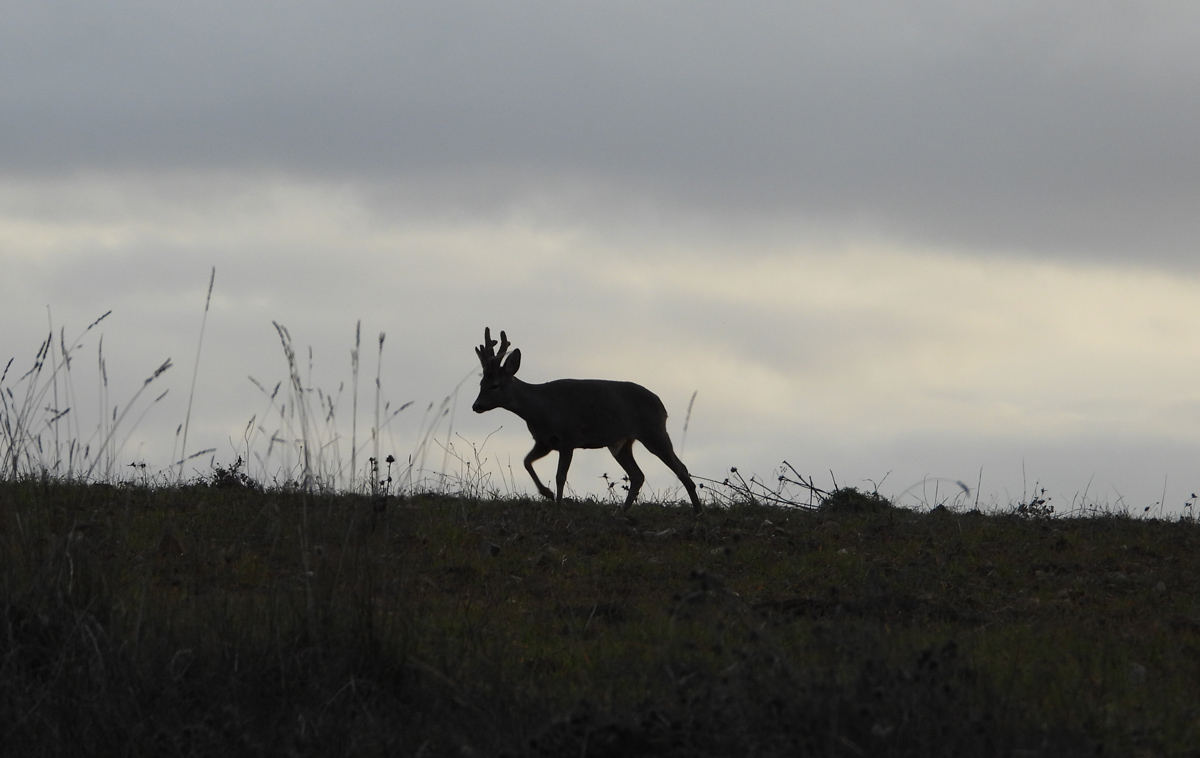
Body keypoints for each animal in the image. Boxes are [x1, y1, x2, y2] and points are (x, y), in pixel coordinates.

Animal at [470, 326, 700, 515]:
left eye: (495, 385)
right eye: (481, 383)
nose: (476, 406)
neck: (541, 410)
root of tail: (662, 406)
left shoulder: (568, 438)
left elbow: (560, 476)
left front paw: (558, 506)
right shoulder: (544, 441)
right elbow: (526, 462)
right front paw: (547, 493)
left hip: (653, 431)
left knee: (680, 468)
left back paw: (697, 510)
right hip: (620, 443)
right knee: (637, 475)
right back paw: (621, 511)